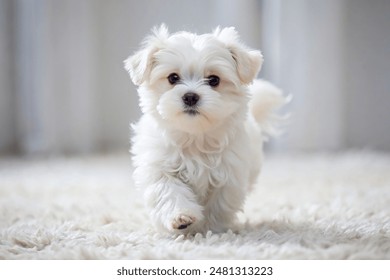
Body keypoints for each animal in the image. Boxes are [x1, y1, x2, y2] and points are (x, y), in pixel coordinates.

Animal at [125, 24, 286, 235]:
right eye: (173, 78)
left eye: (214, 80)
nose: (190, 96)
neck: (195, 137)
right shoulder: (159, 167)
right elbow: (169, 191)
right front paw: (181, 218)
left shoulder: (228, 176)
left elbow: (218, 206)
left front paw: (208, 230)